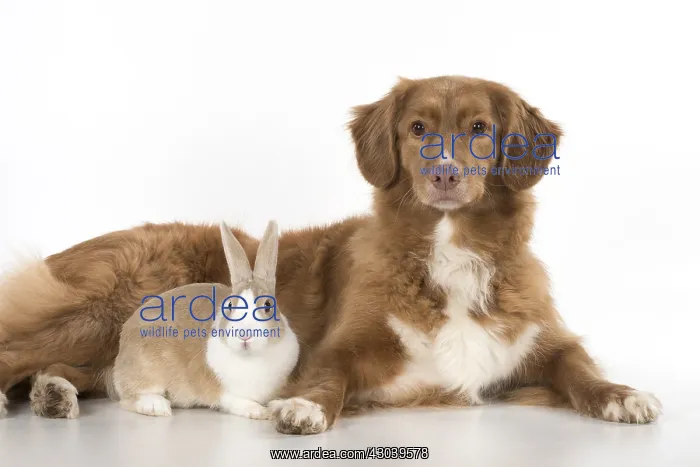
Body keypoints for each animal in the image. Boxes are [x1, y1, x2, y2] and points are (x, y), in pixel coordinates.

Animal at [110, 220, 299, 419]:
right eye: (229, 305)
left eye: (268, 305)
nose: (244, 335)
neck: (251, 357)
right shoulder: (224, 394)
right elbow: (239, 403)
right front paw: (261, 412)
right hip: (148, 370)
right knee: (128, 398)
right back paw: (157, 407)